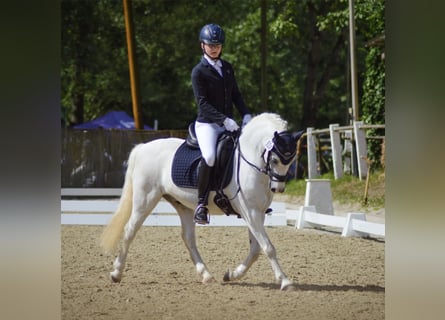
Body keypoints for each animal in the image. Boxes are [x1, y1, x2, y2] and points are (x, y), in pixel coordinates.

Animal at [100, 112, 300, 290]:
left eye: (291, 161)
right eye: (275, 159)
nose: (278, 189)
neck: (250, 162)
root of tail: (142, 147)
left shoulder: (257, 213)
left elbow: (256, 250)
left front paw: (232, 274)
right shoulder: (250, 212)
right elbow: (268, 247)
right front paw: (285, 281)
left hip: (183, 205)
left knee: (188, 238)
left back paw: (206, 275)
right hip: (145, 199)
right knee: (129, 230)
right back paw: (116, 273)